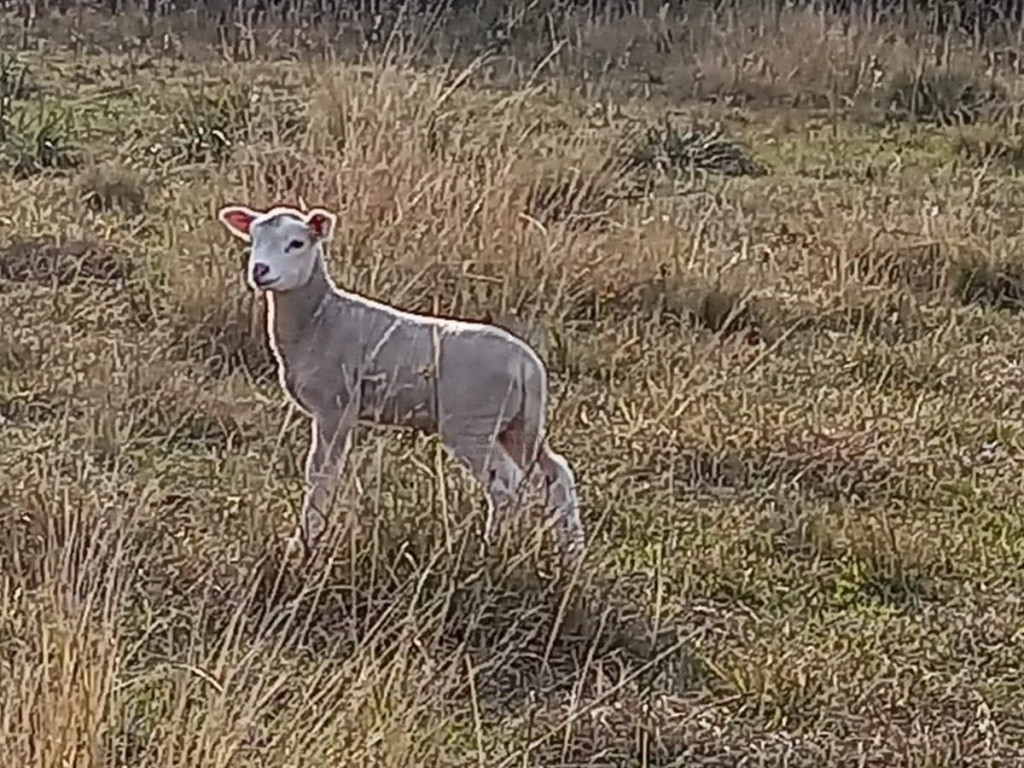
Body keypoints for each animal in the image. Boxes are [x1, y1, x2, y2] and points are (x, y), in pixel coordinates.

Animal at [216, 204, 585, 573]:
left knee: (504, 485)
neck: (319, 318)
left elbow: (320, 474)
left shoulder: (335, 407)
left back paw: (490, 550)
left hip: (472, 425)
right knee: (555, 475)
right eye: (253, 239)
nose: (260, 270)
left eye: (296, 243)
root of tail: (527, 364)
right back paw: (572, 553)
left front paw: (306, 545)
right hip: (522, 424)